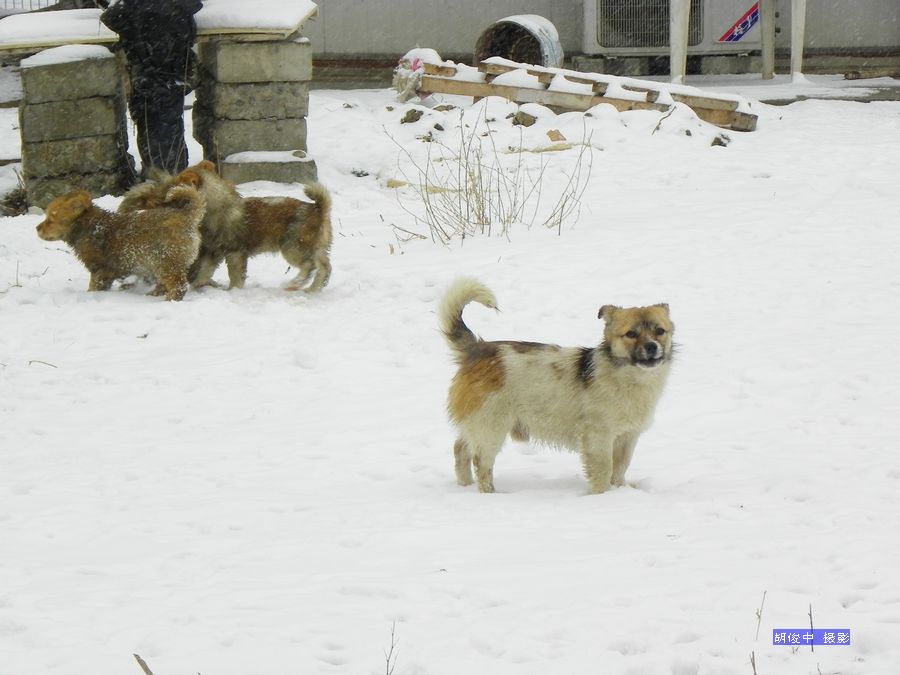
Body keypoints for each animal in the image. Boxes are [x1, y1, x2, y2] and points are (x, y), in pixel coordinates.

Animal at [37, 182, 205, 304]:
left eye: (50, 220)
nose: (36, 228)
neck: (87, 226)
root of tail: (186, 216)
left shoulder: (99, 271)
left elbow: (94, 287)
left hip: (166, 262)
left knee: (178, 286)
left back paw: (169, 300)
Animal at [118, 162, 332, 294]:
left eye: (172, 186)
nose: (156, 196)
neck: (216, 207)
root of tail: (317, 208)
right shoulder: (213, 252)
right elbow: (204, 272)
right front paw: (200, 286)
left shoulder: (234, 253)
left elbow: (235, 277)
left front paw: (232, 292)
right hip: (317, 248)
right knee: (324, 268)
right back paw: (313, 289)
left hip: (292, 248)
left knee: (310, 266)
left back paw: (295, 283)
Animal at [440, 278, 672, 494]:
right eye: (631, 334)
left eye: (660, 331)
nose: (652, 347)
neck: (628, 377)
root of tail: (476, 349)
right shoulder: (598, 438)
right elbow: (603, 470)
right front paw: (602, 496)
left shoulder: (627, 438)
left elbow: (620, 468)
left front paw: (620, 490)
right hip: (491, 427)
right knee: (481, 463)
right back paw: (489, 494)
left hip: (477, 425)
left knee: (460, 449)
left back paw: (465, 485)